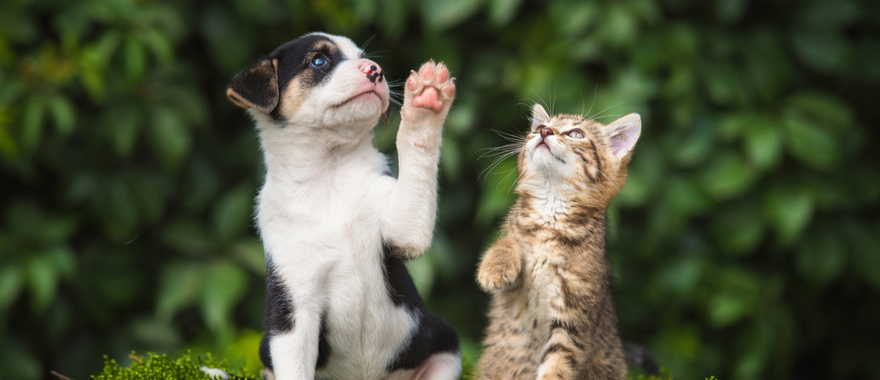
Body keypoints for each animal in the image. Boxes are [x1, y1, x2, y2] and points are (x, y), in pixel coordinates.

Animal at [225, 33, 460, 380]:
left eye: (363, 57)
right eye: (319, 61)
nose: (375, 70)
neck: (330, 173)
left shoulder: (403, 232)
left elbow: (417, 150)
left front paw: (425, 104)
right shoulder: (294, 310)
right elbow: (295, 369)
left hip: (443, 348)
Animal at [478, 104, 644, 380]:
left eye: (576, 134)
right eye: (538, 127)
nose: (544, 131)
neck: (551, 212)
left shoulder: (574, 317)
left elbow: (558, 364)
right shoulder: (511, 294)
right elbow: (508, 241)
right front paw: (495, 268)